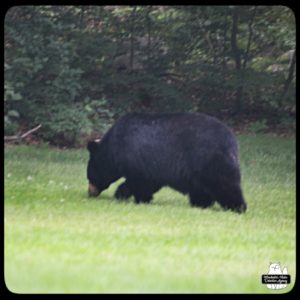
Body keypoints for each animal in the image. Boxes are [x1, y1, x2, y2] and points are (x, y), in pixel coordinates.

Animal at [86, 112, 246, 213]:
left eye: (89, 176)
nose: (90, 192)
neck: (113, 148)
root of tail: (232, 140)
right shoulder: (153, 168)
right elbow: (150, 183)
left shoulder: (138, 159)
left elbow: (139, 182)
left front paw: (122, 194)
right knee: (201, 189)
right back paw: (200, 204)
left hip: (208, 160)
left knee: (224, 184)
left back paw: (237, 207)